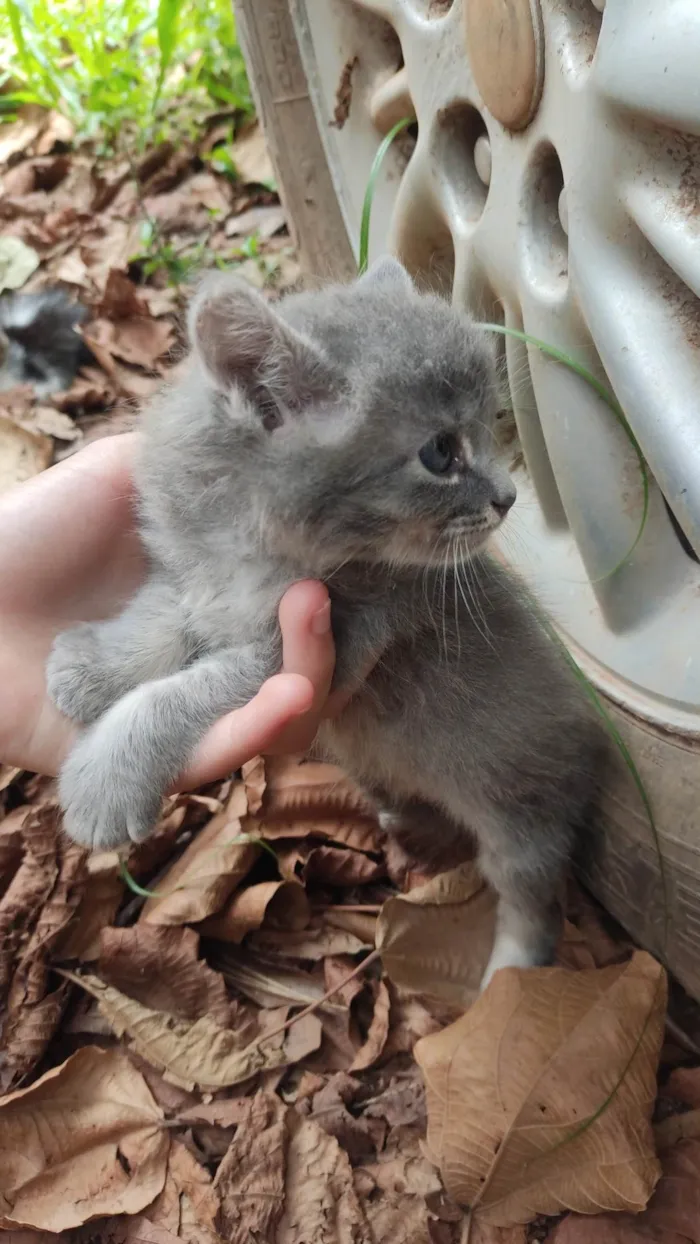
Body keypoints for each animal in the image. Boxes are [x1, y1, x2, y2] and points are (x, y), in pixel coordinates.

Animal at [46, 259, 604, 980]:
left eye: (488, 430)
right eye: (441, 452)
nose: (508, 498)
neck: (249, 544)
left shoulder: (323, 642)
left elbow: (171, 696)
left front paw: (105, 781)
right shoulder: (194, 579)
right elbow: (159, 627)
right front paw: (91, 669)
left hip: (523, 816)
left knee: (532, 900)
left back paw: (508, 977)